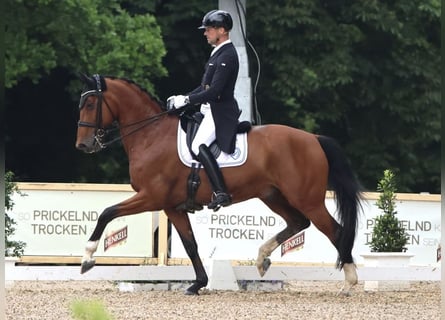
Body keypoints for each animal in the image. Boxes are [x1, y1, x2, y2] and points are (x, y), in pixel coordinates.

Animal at [75, 74, 360, 294]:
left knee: (335, 231)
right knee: (298, 222)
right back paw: (261, 260)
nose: (83, 145)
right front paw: (198, 284)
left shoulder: (152, 197)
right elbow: (190, 244)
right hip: (273, 195)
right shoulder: (172, 206)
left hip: (307, 199)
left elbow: (107, 213)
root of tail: (313, 138)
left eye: (90, 103)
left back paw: (349, 282)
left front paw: (87, 258)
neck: (151, 135)